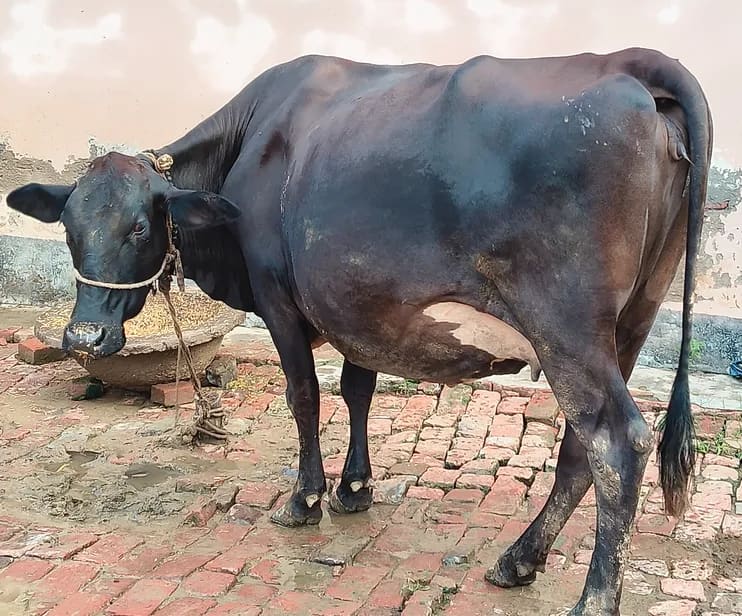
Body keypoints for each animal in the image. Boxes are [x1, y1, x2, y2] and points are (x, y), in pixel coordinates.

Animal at [6, 47, 711, 614]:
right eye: (68, 227)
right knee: (578, 449)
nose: (84, 339)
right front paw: (355, 487)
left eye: (139, 227)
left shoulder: (280, 301)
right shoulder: (361, 306)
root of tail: (627, 64)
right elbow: (357, 390)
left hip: (566, 327)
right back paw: (520, 559)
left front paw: (306, 498)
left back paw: (593, 598)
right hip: (630, 321)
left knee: (616, 442)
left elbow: (305, 397)